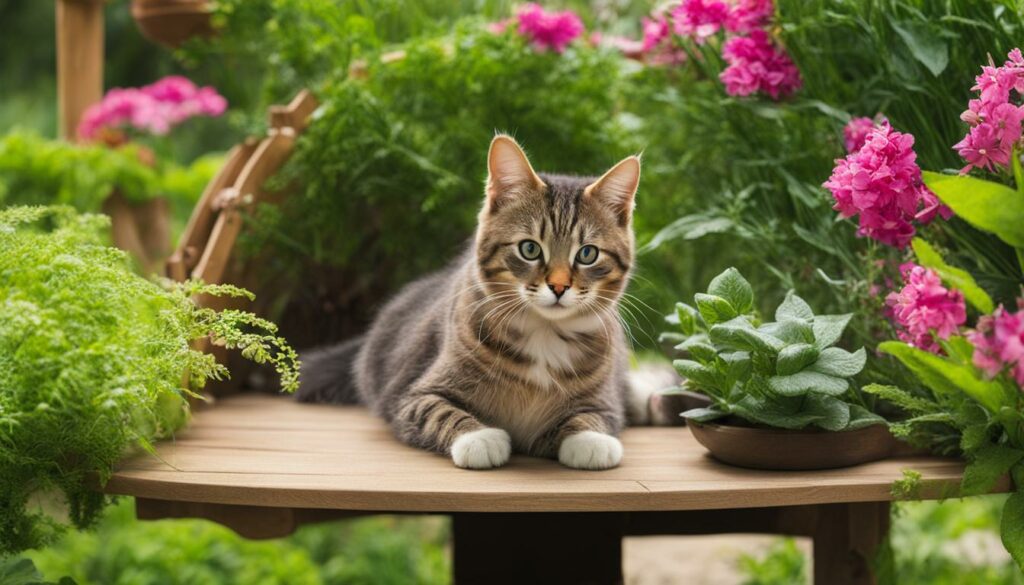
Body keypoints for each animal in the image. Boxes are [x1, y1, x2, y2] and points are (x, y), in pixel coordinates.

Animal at [296, 135, 643, 469]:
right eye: (529, 249)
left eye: (587, 254)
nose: (558, 286)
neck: (544, 333)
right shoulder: (408, 396)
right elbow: (438, 410)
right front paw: (478, 438)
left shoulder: (606, 401)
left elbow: (593, 416)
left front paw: (589, 440)